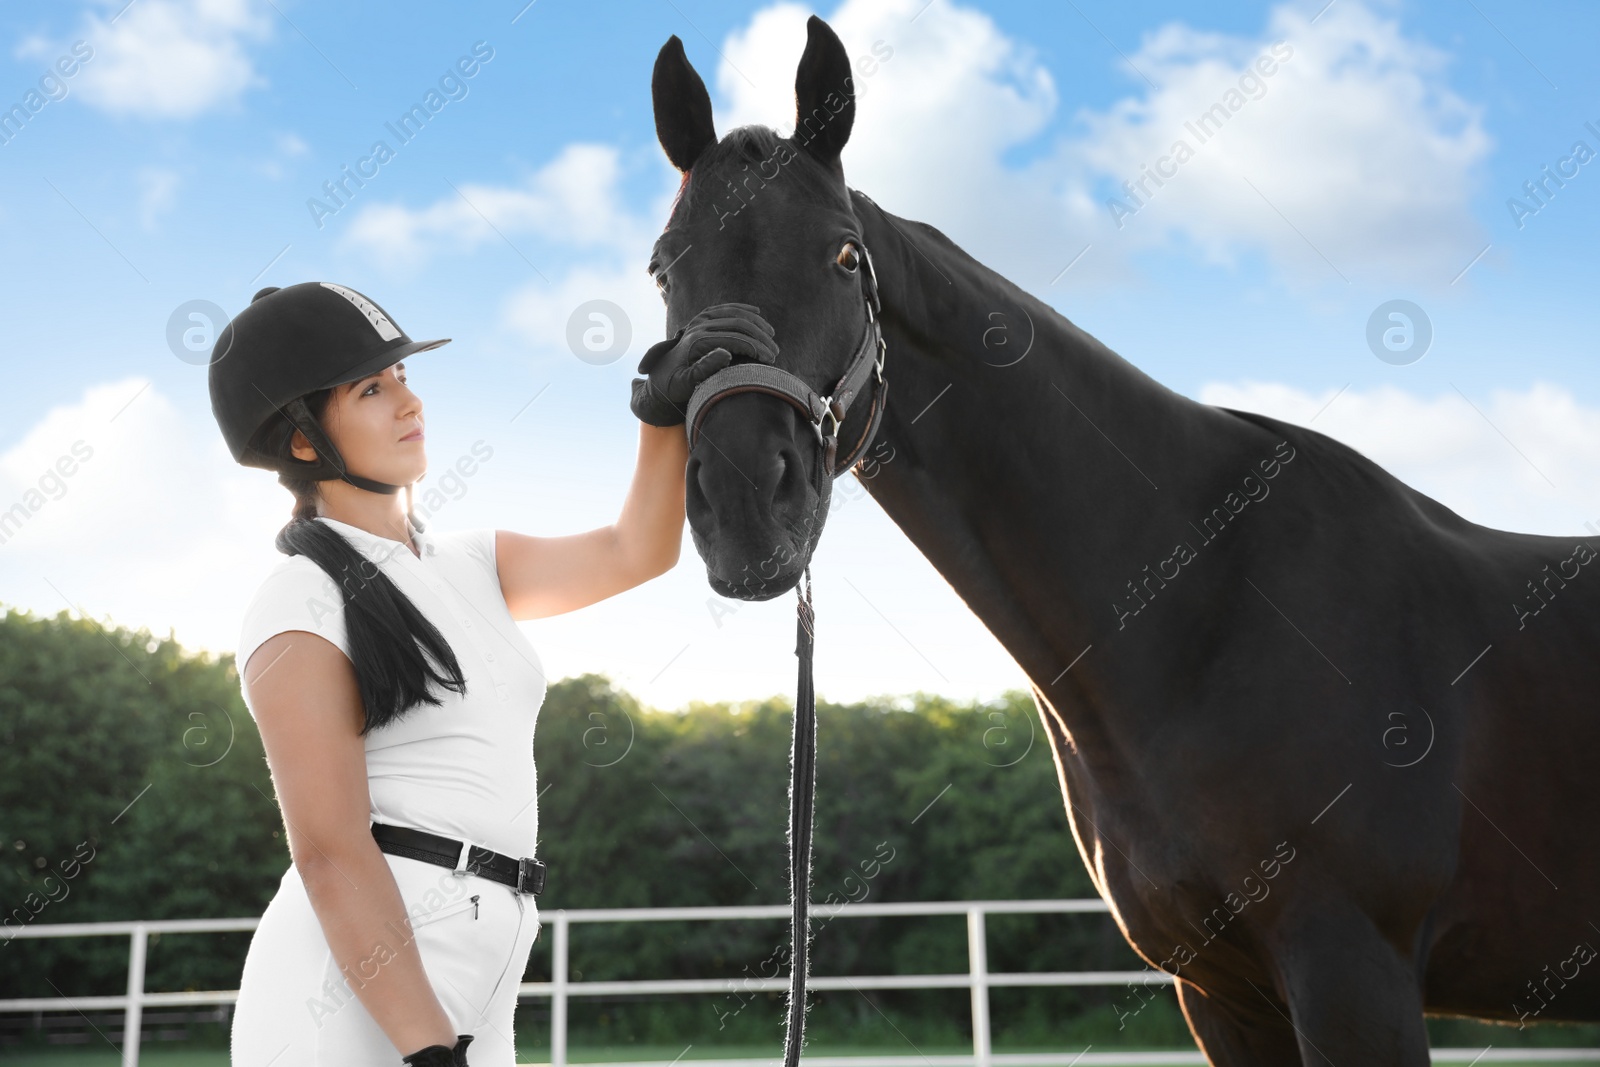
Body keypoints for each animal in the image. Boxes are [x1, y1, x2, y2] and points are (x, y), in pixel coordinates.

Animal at [646, 12, 1600, 1062]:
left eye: (845, 257)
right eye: (663, 267)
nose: (745, 498)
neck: (1208, 609)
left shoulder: (1353, 968)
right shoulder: (1223, 992)